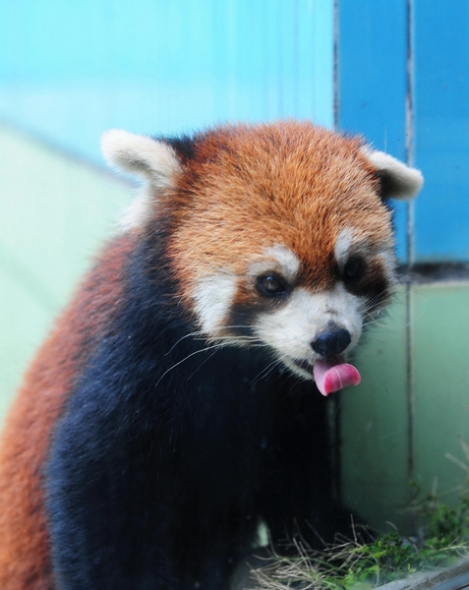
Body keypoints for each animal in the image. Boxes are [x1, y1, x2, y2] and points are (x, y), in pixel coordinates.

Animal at [0, 122, 420, 588]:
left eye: (351, 269)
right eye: (272, 282)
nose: (331, 339)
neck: (242, 364)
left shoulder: (279, 405)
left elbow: (294, 474)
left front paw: (335, 541)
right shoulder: (130, 359)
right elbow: (95, 488)